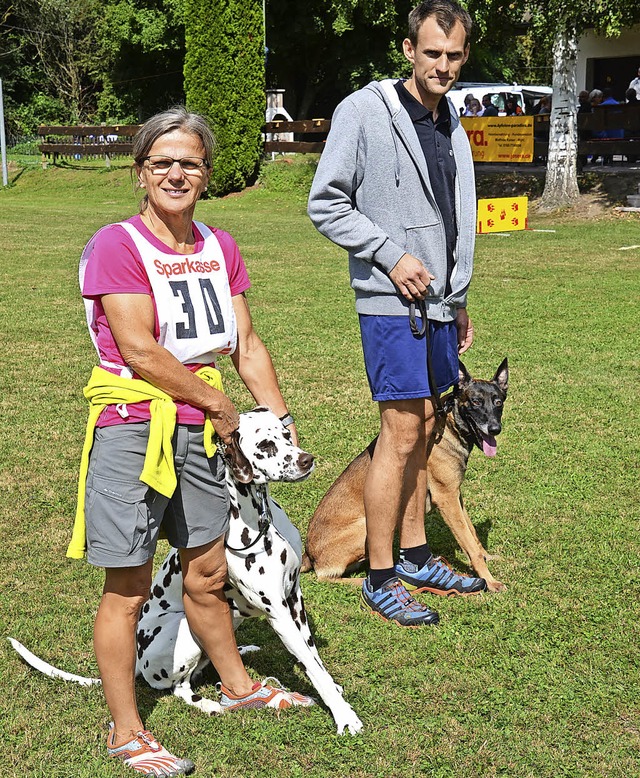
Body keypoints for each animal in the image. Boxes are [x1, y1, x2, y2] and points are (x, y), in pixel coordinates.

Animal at [10, 406, 362, 732]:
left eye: (287, 436)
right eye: (265, 445)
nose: (306, 460)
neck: (260, 520)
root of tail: (136, 662)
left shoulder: (294, 598)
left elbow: (313, 657)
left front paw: (334, 691)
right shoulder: (278, 611)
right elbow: (313, 668)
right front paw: (344, 716)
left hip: (229, 615)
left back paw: (241, 655)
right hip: (184, 629)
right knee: (178, 687)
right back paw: (208, 703)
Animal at [302, 360, 510, 592]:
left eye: (498, 402)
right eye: (475, 401)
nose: (495, 429)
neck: (448, 425)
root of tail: (308, 554)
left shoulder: (456, 495)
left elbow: (471, 532)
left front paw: (487, 556)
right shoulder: (446, 498)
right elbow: (468, 542)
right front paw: (490, 580)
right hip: (365, 527)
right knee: (326, 577)